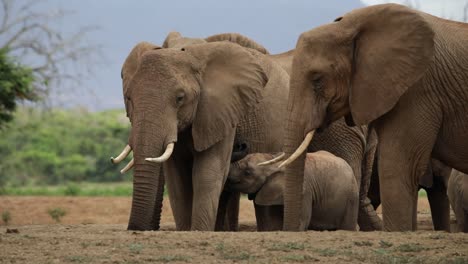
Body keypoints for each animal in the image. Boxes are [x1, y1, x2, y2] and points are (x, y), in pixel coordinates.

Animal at [113, 39, 288, 231]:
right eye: (129, 98)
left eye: (180, 98)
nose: (242, 145)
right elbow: (177, 181)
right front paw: (185, 230)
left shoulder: (221, 111)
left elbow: (207, 173)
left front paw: (198, 230)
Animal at [227, 151, 358, 231]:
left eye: (247, 172)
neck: (274, 161)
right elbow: (270, 225)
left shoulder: (304, 191)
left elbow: (300, 223)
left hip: (351, 197)